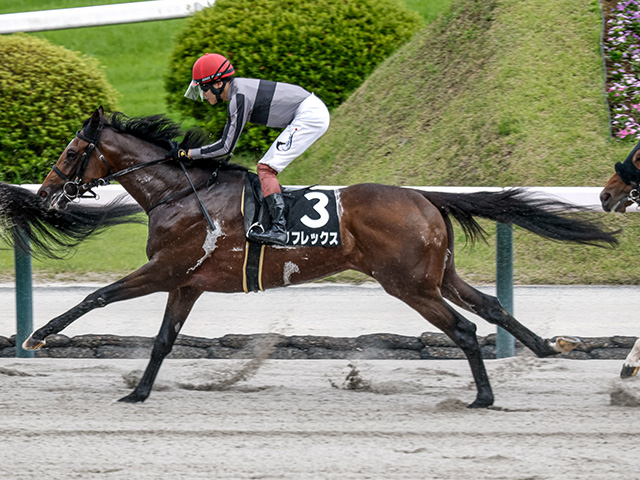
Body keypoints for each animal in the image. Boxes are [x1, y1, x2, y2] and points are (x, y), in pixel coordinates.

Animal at [2, 107, 620, 408]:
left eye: (72, 152)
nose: (45, 193)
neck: (179, 192)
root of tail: (425, 196)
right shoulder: (187, 282)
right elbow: (162, 341)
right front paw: (138, 391)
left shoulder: (166, 269)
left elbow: (97, 295)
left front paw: (37, 336)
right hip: (436, 274)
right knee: (489, 307)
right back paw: (545, 348)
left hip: (409, 284)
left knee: (465, 329)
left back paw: (485, 397)